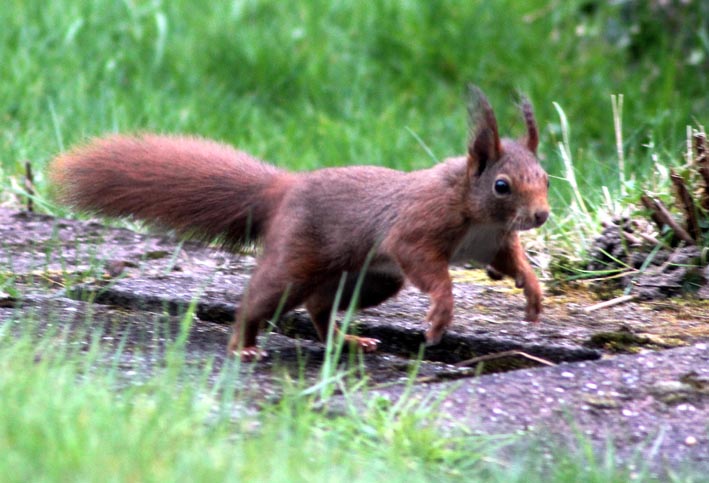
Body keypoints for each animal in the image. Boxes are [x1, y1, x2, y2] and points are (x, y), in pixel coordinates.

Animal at [49, 87, 548, 362]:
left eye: (544, 177)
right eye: (502, 185)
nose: (541, 215)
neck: (472, 207)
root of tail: (284, 190)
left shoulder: (491, 242)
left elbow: (512, 261)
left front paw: (532, 291)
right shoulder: (418, 225)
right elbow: (423, 260)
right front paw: (441, 312)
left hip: (370, 279)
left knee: (320, 306)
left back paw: (348, 342)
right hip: (299, 255)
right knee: (264, 297)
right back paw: (244, 345)